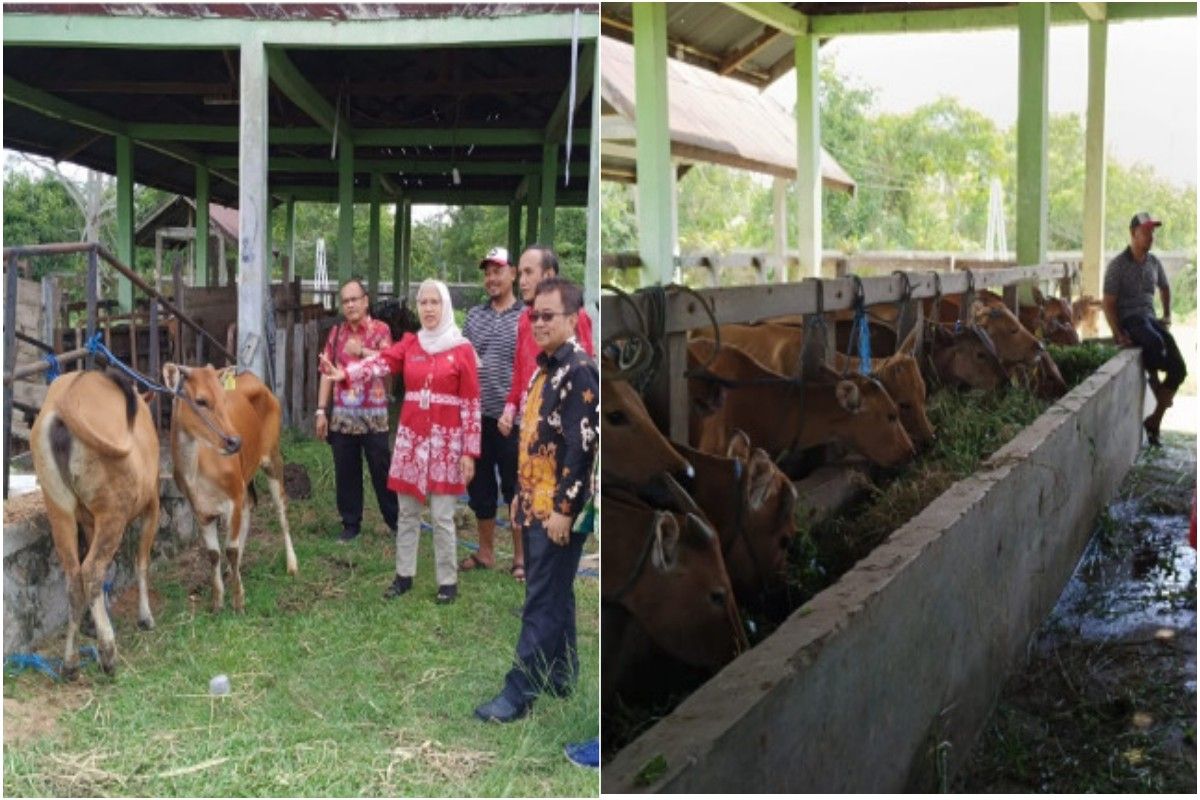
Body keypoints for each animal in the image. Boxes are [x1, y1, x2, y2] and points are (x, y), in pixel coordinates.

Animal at [29, 371, 159, 681]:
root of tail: (63, 402)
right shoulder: (153, 505)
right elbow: (141, 562)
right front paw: (145, 617)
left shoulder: (88, 520)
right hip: (113, 512)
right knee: (91, 570)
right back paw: (108, 653)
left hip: (59, 508)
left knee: (74, 576)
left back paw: (71, 662)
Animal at [164, 362, 297, 614]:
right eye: (200, 401)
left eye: (223, 398)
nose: (235, 442)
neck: (197, 472)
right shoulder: (200, 509)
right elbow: (214, 553)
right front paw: (217, 601)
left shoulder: (233, 497)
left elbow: (231, 550)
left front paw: (238, 602)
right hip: (245, 478)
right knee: (250, 507)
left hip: (272, 456)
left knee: (281, 508)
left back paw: (292, 565)